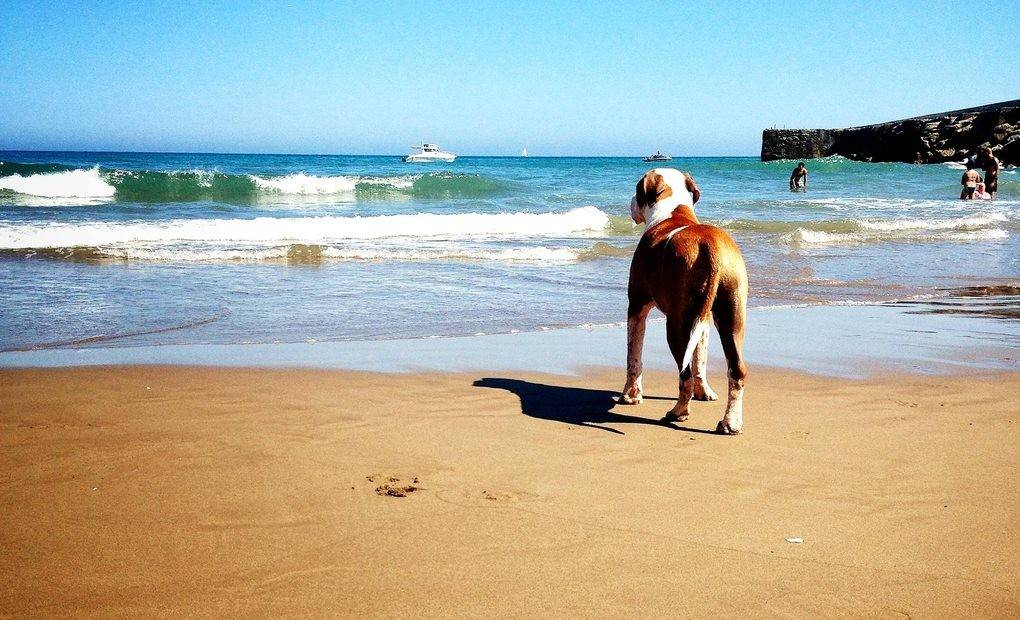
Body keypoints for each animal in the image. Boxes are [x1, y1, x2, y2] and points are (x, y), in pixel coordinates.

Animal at [616, 167, 746, 434]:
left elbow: (633, 357)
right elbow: (700, 360)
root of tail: (710, 246)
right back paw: (731, 422)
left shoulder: (636, 307)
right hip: (730, 316)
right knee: (736, 370)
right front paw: (704, 392)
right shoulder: (703, 323)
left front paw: (630, 395)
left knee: (683, 374)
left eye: (637, 190)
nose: (630, 201)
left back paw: (679, 412)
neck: (672, 212)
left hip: (677, 325)